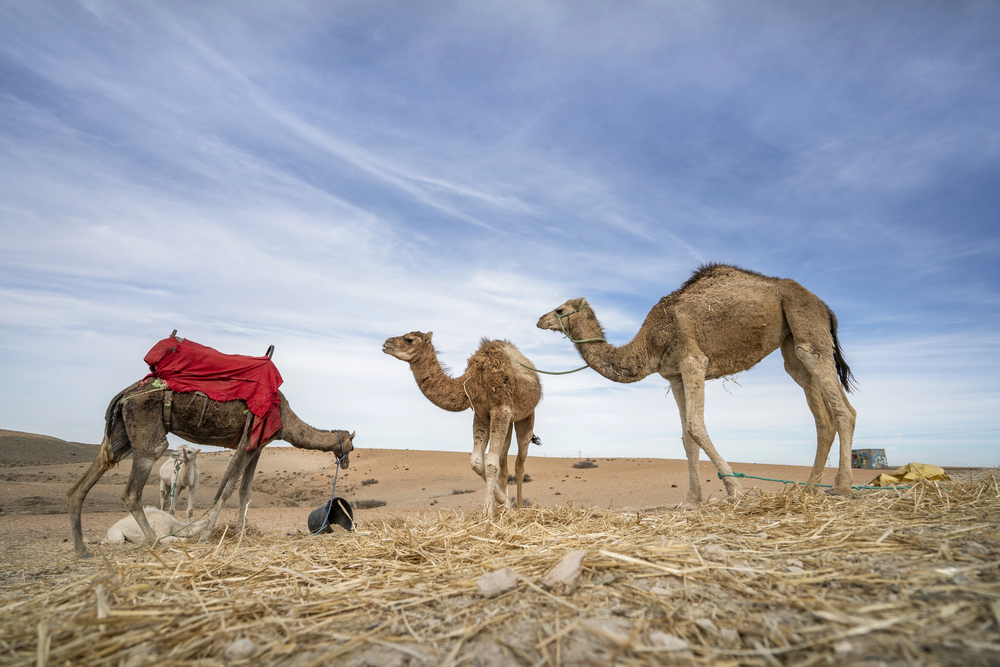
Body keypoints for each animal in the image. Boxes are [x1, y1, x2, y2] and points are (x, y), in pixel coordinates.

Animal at [67, 336, 356, 560]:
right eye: (352, 446)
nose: (346, 463)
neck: (286, 420)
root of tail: (125, 394)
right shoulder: (248, 442)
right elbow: (227, 489)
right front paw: (207, 535)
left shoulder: (258, 445)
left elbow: (245, 491)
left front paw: (240, 534)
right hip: (148, 432)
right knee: (131, 491)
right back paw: (155, 542)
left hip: (120, 436)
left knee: (84, 482)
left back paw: (81, 548)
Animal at [380, 332, 540, 516]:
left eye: (409, 339)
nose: (386, 343)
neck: (473, 381)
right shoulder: (481, 413)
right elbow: (477, 462)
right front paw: (503, 504)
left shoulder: (501, 408)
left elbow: (490, 463)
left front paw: (488, 512)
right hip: (509, 422)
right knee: (504, 463)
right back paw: (506, 507)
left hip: (526, 415)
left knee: (520, 463)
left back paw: (520, 507)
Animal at [540, 264, 860, 504]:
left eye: (560, 309)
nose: (539, 320)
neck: (648, 342)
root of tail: (824, 306)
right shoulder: (674, 375)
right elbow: (686, 437)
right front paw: (692, 499)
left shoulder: (693, 361)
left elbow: (695, 426)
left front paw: (734, 490)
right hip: (791, 342)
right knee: (817, 406)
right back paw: (808, 489)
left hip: (805, 319)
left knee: (843, 406)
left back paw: (842, 487)